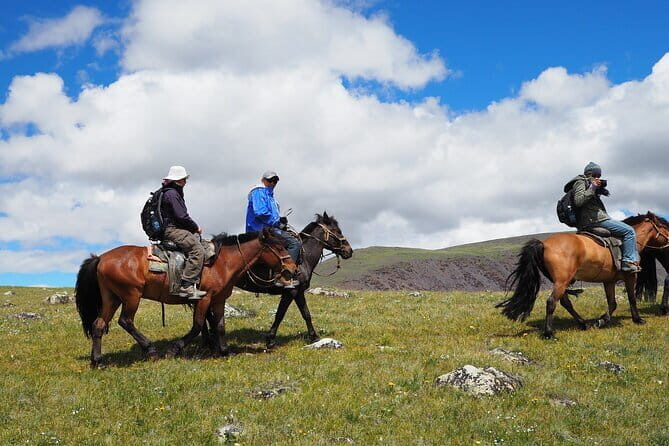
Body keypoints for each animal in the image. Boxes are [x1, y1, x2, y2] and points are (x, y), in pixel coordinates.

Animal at [75, 227, 297, 367]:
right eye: (278, 248)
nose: (293, 268)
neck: (223, 262)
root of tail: (100, 258)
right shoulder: (204, 299)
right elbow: (198, 326)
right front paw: (175, 349)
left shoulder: (219, 300)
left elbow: (220, 326)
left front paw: (224, 351)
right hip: (131, 296)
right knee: (126, 321)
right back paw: (151, 350)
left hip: (112, 298)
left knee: (98, 325)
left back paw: (98, 361)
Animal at [222, 212, 353, 348]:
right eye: (337, 231)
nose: (349, 251)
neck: (304, 259)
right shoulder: (290, 292)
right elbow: (280, 314)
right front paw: (270, 340)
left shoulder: (299, 292)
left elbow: (306, 314)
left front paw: (314, 337)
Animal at [496, 212, 669, 338]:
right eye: (663, 225)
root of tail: (544, 244)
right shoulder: (630, 276)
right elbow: (632, 299)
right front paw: (638, 319)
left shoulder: (609, 281)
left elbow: (612, 303)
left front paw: (602, 321)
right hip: (562, 281)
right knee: (552, 302)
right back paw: (549, 333)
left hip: (561, 281)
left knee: (565, 302)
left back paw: (583, 323)